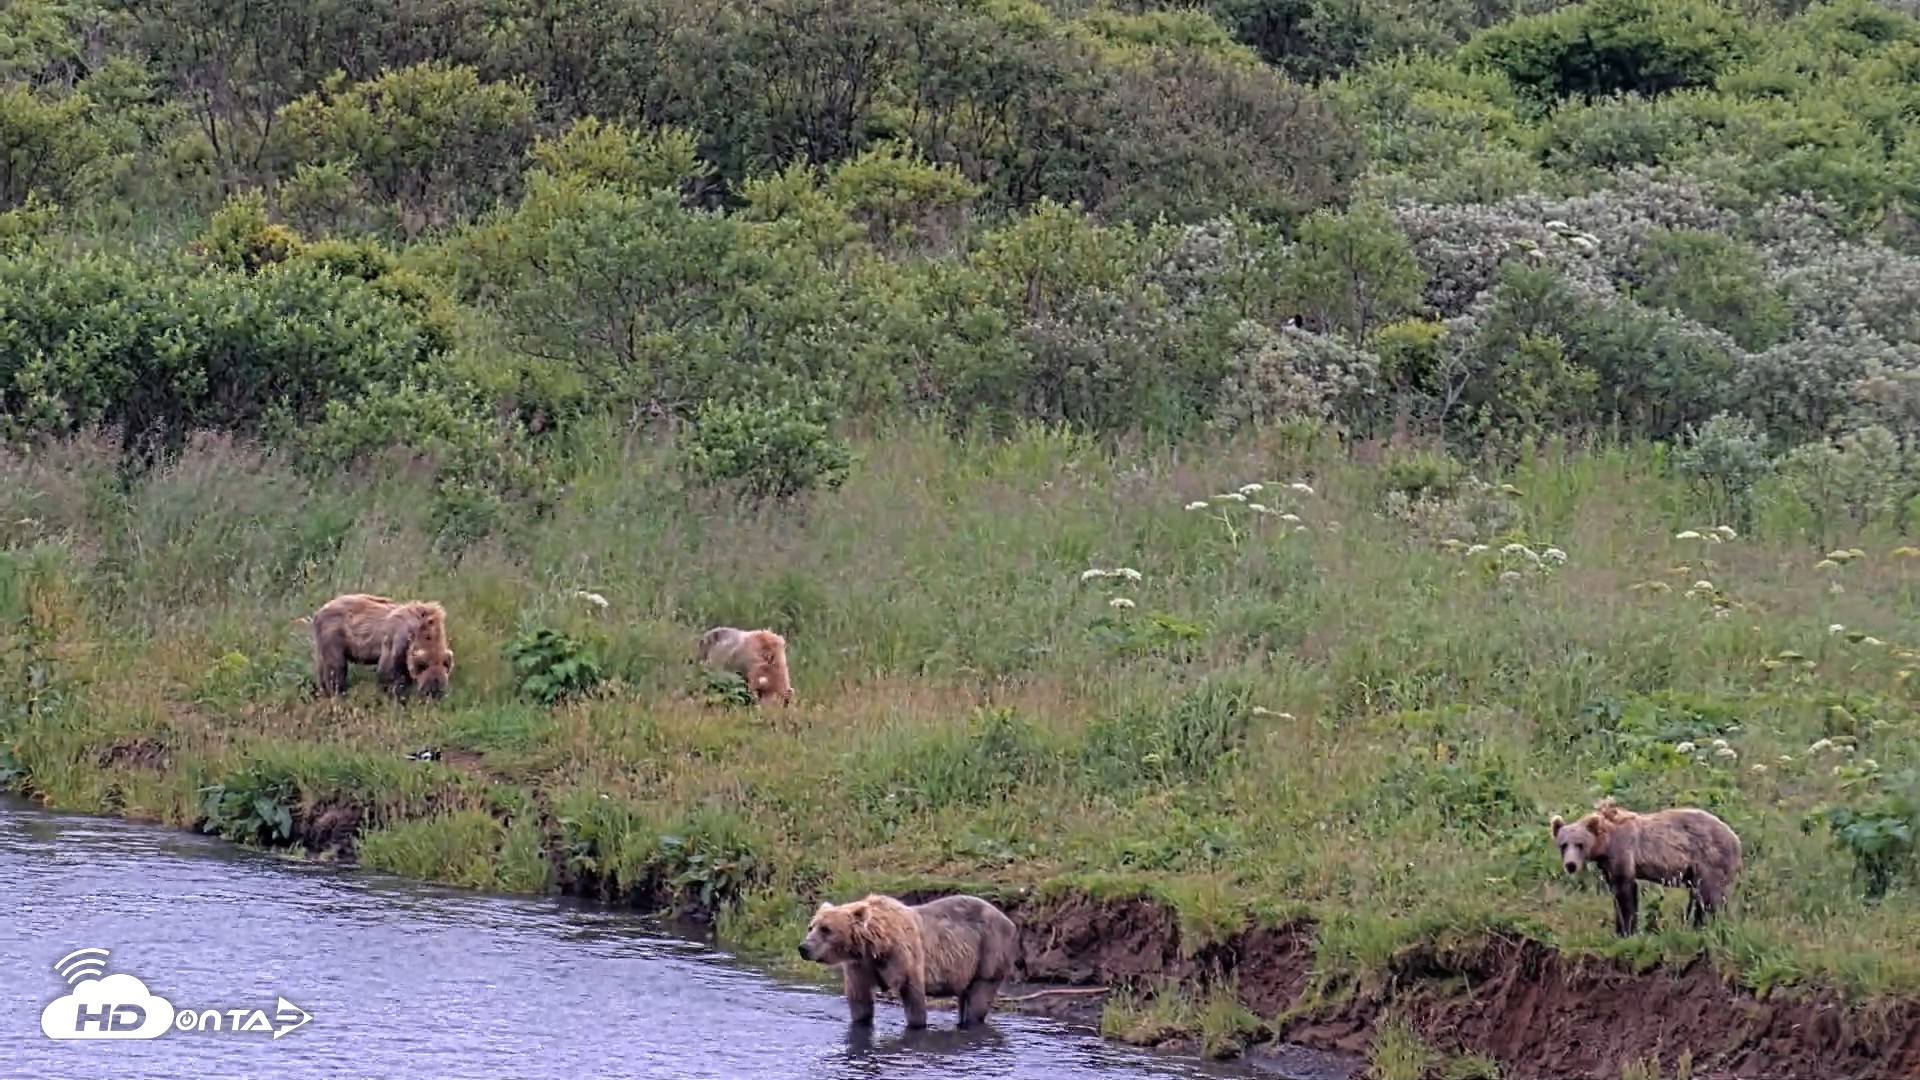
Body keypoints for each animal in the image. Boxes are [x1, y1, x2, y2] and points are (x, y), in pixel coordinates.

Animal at [311, 593, 454, 701]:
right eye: (429, 690)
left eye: (439, 690)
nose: (433, 697)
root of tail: (319, 611)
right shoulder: (398, 639)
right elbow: (389, 670)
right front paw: (393, 694)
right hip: (334, 636)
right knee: (336, 668)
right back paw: (337, 692)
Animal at [797, 893, 1019, 1029]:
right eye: (811, 926)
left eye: (826, 929)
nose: (803, 947)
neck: (875, 946)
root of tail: (1010, 921)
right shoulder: (859, 967)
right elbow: (860, 1002)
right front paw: (861, 1021)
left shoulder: (904, 957)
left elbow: (913, 998)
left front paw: (916, 1024)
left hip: (990, 951)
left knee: (978, 998)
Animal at [1550, 797, 1742, 936]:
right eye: (1563, 845)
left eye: (1580, 844)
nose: (1571, 865)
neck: (1605, 842)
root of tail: (1735, 838)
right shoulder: (1607, 864)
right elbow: (1617, 892)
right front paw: (1620, 929)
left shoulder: (1623, 851)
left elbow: (1625, 892)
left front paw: (1627, 931)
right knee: (1699, 897)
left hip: (1709, 859)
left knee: (1710, 896)